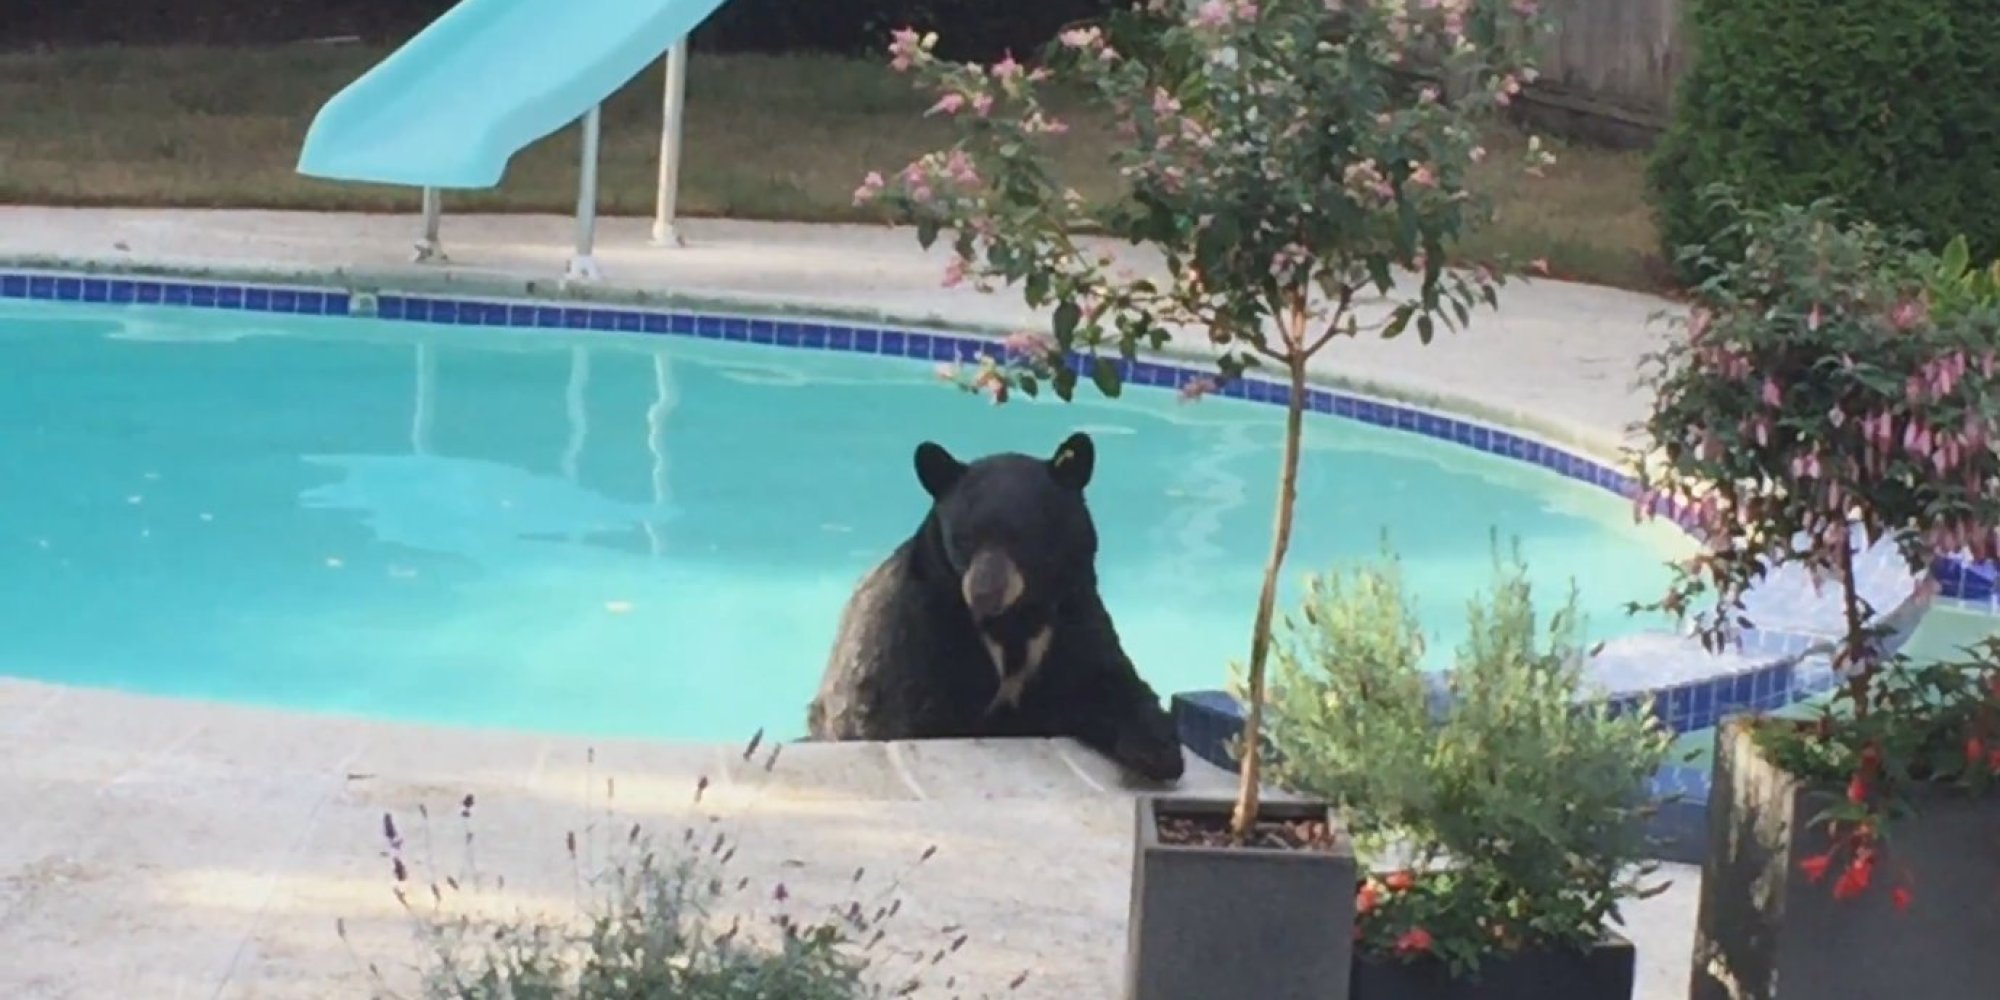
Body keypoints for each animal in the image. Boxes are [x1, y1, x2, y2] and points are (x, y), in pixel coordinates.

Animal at [812, 430, 1184, 780]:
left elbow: (1105, 680)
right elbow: (922, 709)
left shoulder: (1072, 613)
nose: (984, 594)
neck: (1015, 621)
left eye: (1023, 535)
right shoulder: (925, 627)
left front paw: (1159, 751)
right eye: (963, 539)